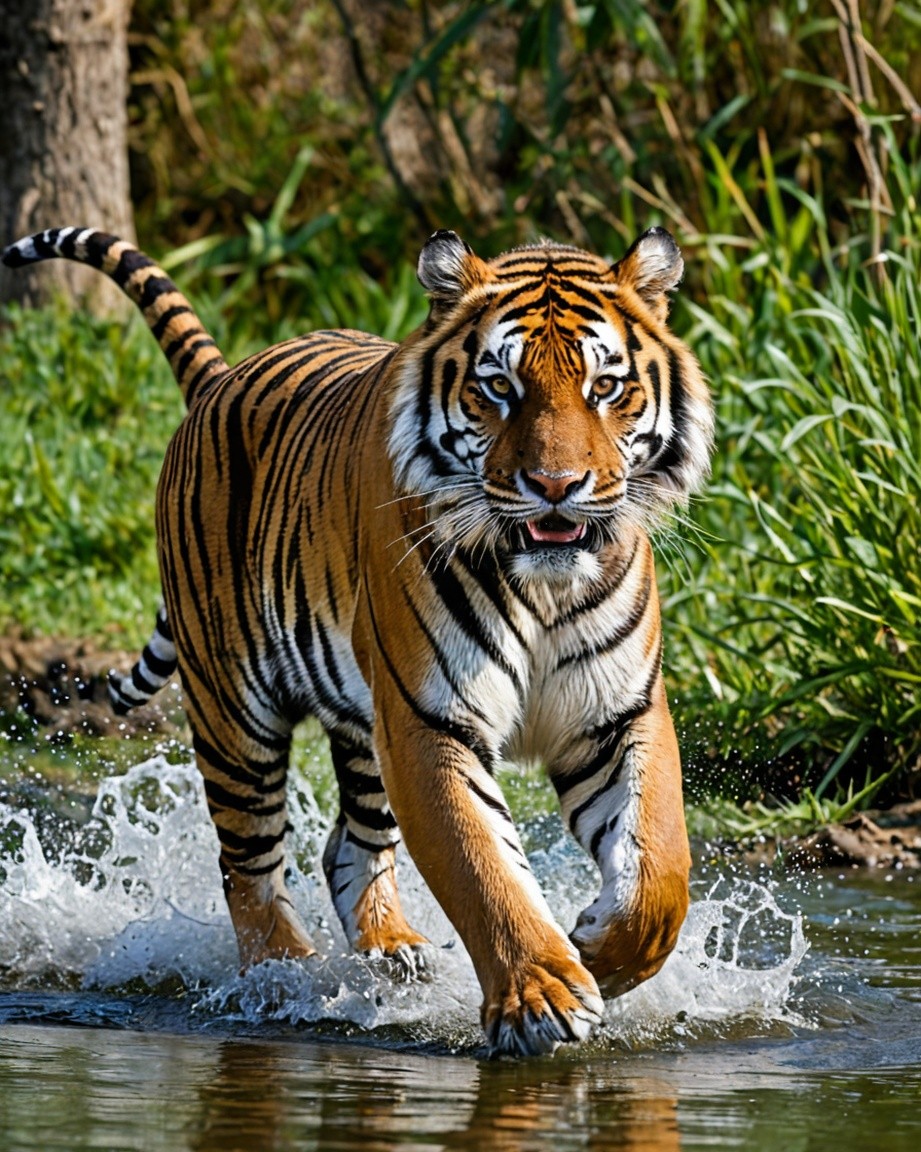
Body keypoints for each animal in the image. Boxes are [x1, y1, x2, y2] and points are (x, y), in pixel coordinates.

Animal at [2, 224, 713, 1056]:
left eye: (604, 387)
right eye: (498, 387)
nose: (555, 487)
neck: (543, 582)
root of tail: (220, 380)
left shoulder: (616, 714)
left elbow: (658, 868)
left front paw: (597, 950)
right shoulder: (429, 721)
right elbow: (481, 867)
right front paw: (541, 996)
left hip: (360, 722)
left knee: (350, 842)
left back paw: (392, 954)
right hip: (234, 716)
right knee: (247, 865)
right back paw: (285, 980)